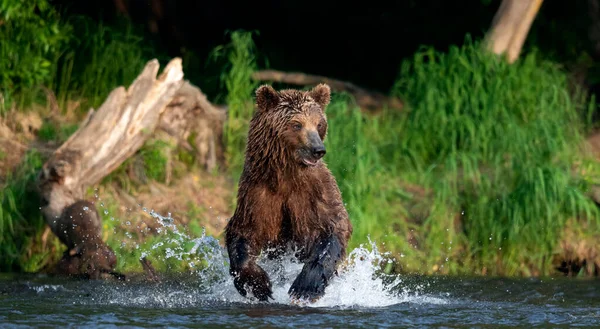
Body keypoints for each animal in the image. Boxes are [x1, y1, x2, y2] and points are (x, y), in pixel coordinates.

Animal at [225, 83, 352, 302]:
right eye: (297, 124)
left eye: (319, 123)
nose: (318, 149)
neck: (287, 175)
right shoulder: (257, 194)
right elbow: (244, 233)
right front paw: (259, 285)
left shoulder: (316, 192)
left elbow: (333, 227)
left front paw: (305, 287)